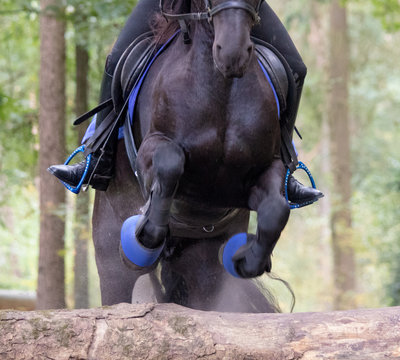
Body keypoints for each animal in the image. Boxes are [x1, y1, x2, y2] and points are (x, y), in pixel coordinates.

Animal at [92, 0, 290, 312]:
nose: (232, 54)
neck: (221, 90)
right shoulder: (153, 148)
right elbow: (170, 163)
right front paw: (145, 234)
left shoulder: (262, 171)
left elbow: (276, 210)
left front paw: (248, 259)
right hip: (111, 258)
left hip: (202, 266)